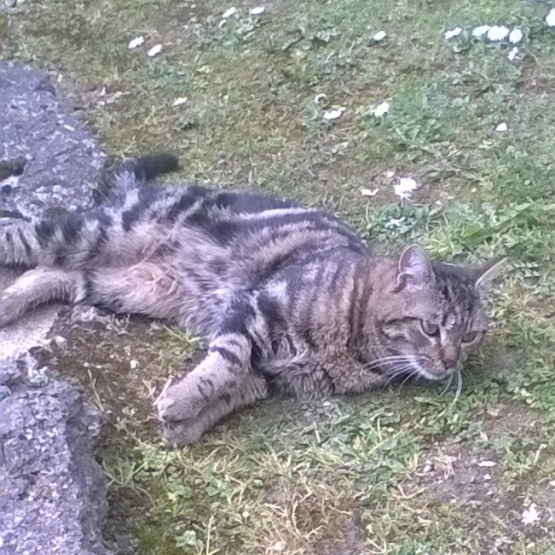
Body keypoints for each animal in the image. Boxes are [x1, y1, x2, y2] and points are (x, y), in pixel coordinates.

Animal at [0, 154, 504, 450]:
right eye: (430, 327)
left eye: (470, 335)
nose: (451, 362)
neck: (358, 344)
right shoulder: (253, 311)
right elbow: (225, 364)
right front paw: (181, 400)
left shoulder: (270, 376)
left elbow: (231, 391)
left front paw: (186, 423)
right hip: (94, 234)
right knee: (22, 237)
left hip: (130, 285)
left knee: (58, 274)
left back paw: (11, 302)